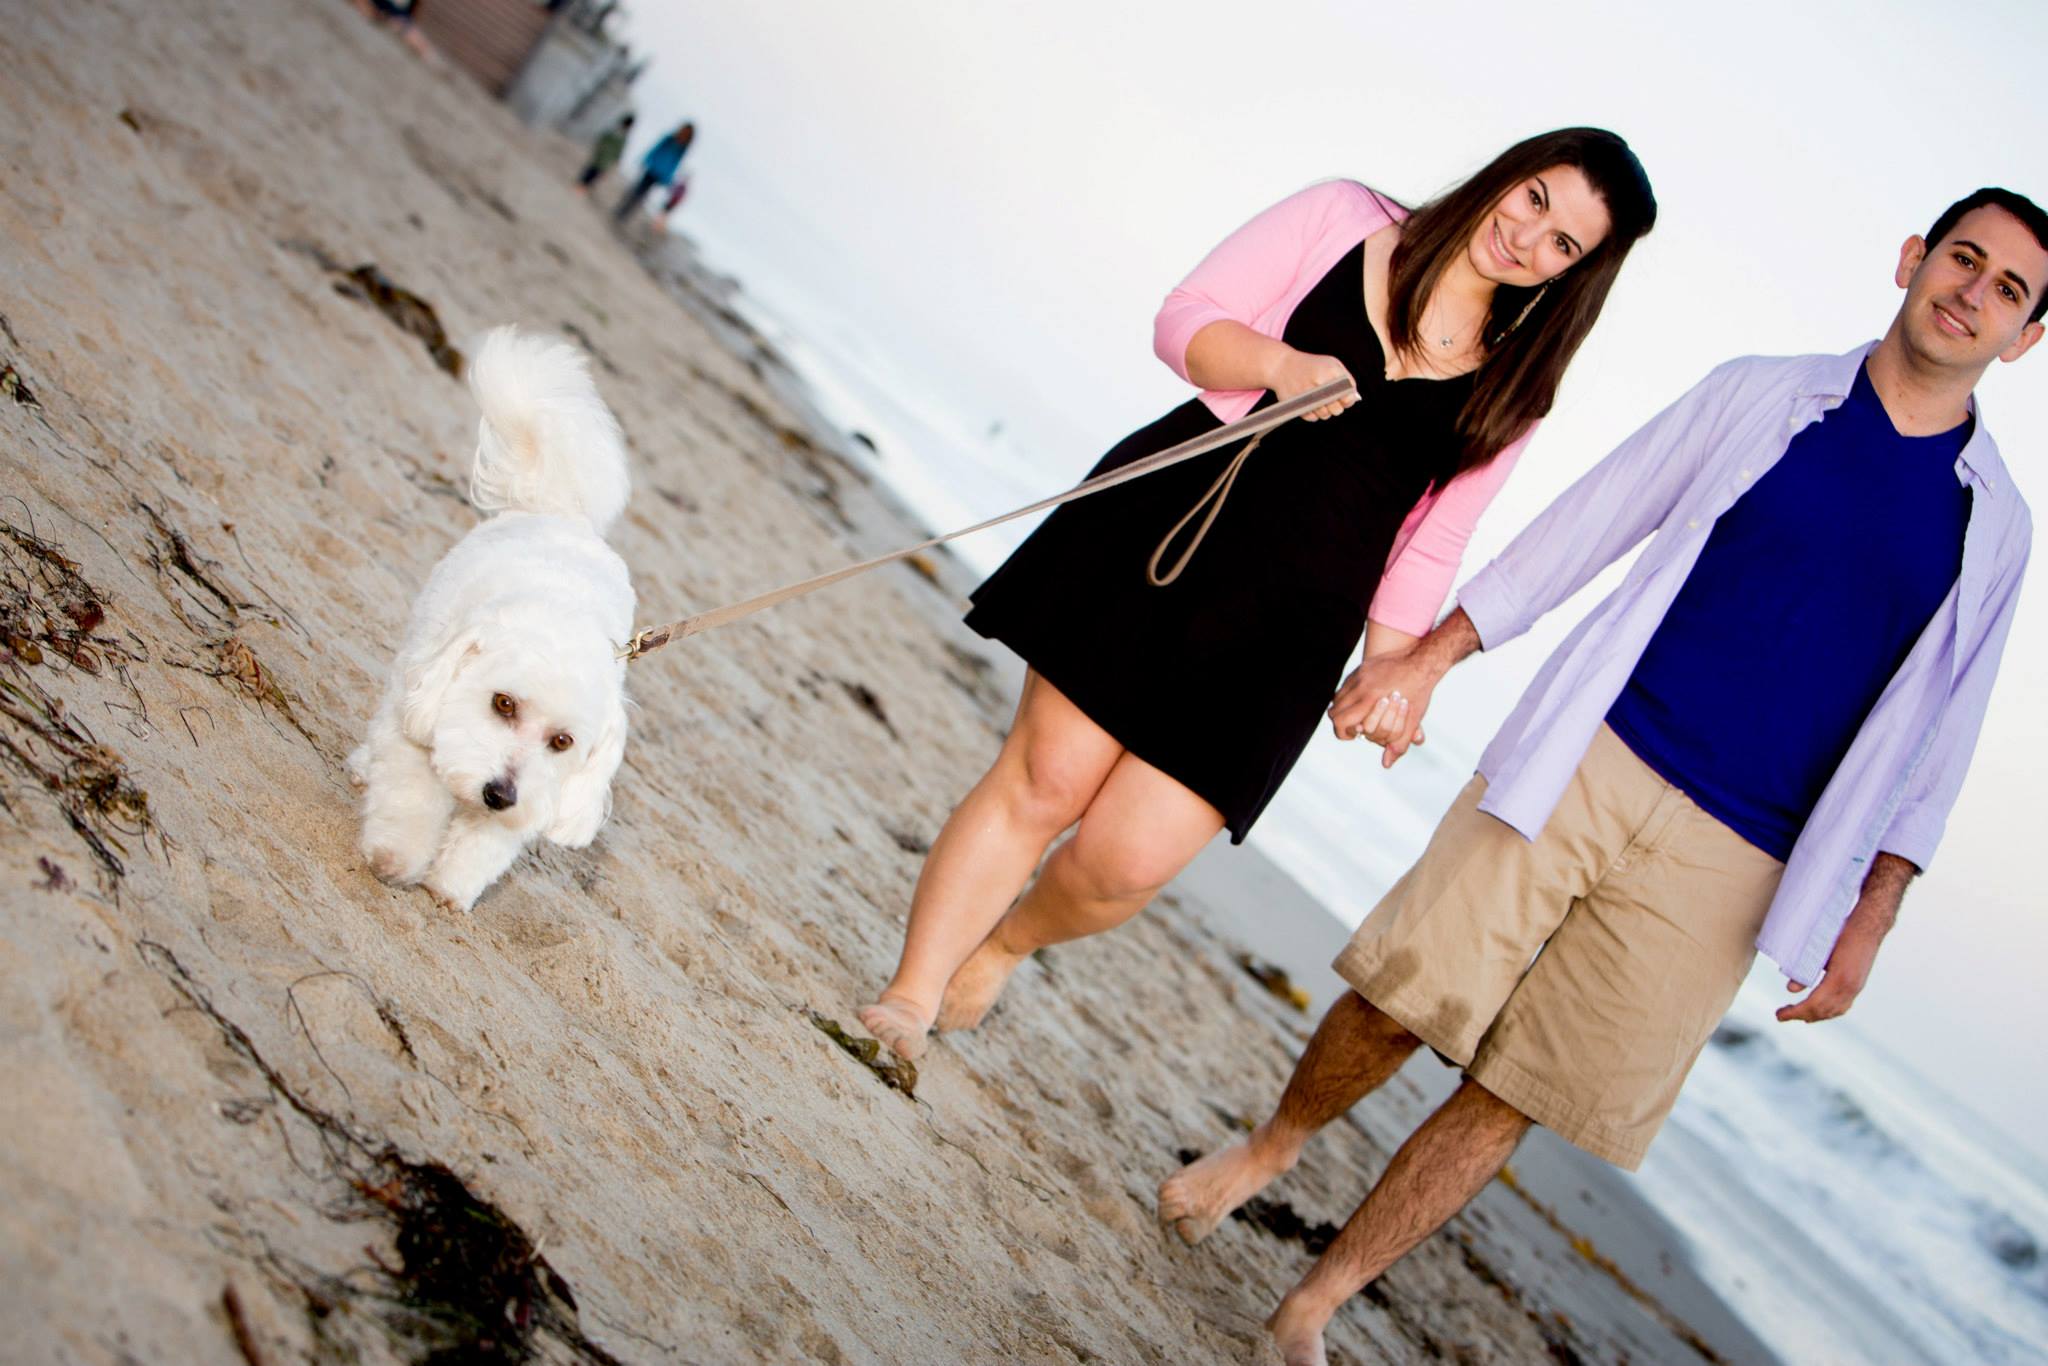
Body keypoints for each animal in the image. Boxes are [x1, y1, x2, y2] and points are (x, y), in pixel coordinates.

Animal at [348, 327, 630, 913]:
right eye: (503, 703)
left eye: (563, 742)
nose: (499, 794)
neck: (561, 617)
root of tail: (563, 514)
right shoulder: (427, 719)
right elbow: (411, 796)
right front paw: (397, 858)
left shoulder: (534, 795)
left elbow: (482, 845)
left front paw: (449, 888)